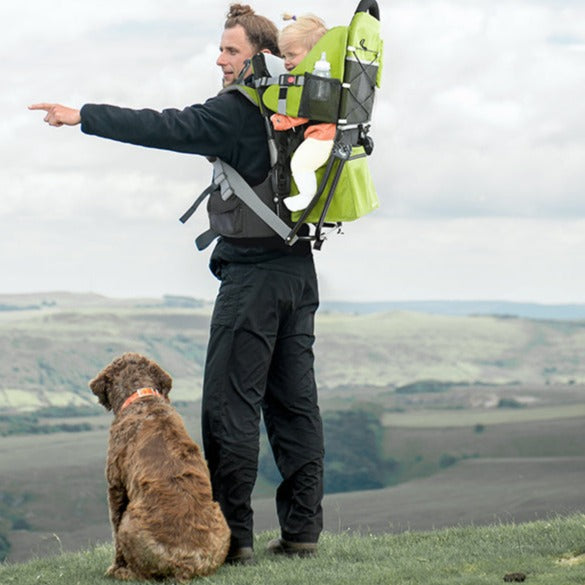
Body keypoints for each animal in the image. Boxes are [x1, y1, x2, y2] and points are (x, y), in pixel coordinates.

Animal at [90, 352, 229, 580]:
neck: (141, 397)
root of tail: (183, 565)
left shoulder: (115, 486)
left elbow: (114, 529)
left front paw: (114, 566)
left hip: (129, 522)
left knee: (140, 572)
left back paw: (122, 572)